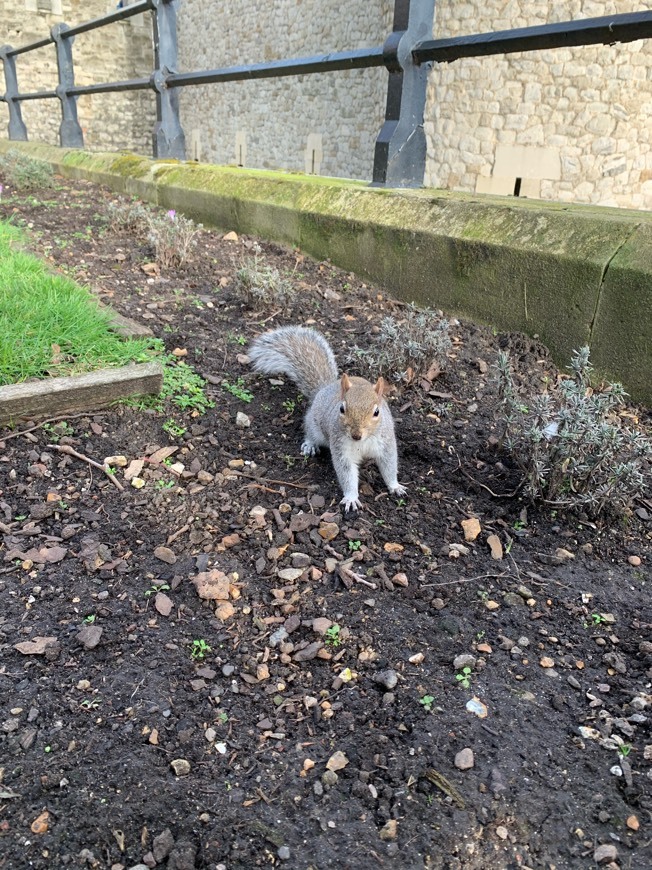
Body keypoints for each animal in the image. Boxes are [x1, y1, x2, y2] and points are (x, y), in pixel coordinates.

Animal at [250, 330, 408, 516]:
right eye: (341, 409)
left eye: (377, 412)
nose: (356, 435)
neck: (363, 442)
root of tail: (324, 389)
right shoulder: (341, 448)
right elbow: (346, 473)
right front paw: (351, 497)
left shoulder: (385, 444)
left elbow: (389, 466)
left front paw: (395, 486)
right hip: (315, 425)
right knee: (310, 432)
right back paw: (310, 445)